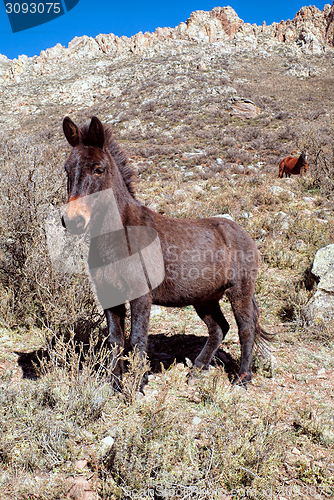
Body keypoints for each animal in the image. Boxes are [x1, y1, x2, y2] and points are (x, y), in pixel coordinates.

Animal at [61, 116, 272, 386]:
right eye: (67, 169)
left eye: (98, 169)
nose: (73, 221)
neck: (119, 234)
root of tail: (241, 232)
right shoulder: (109, 295)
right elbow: (115, 340)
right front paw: (115, 383)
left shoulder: (141, 295)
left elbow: (137, 338)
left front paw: (138, 383)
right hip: (204, 297)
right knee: (219, 328)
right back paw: (197, 370)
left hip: (239, 291)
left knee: (245, 328)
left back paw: (243, 378)